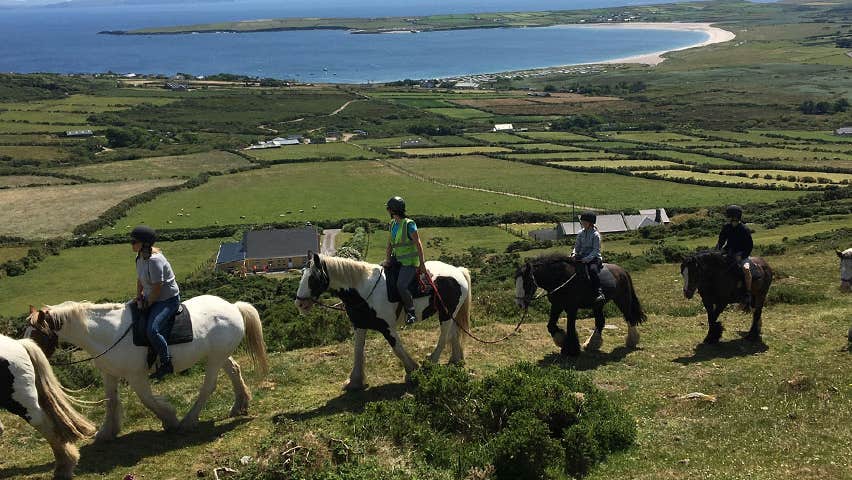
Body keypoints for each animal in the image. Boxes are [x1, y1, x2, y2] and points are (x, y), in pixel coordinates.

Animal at [25, 295, 268, 441]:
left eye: (37, 332)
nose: (27, 352)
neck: (109, 333)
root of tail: (233, 307)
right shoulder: (109, 374)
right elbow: (111, 401)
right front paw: (106, 432)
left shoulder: (136, 376)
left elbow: (148, 400)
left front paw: (170, 418)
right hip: (219, 355)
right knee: (234, 370)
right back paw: (239, 405)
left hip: (215, 359)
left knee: (208, 387)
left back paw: (188, 421)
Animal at [294, 253, 471, 390]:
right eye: (302, 273)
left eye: (313, 277)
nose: (300, 304)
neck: (364, 291)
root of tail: (458, 271)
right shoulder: (359, 325)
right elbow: (357, 351)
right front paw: (354, 381)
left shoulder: (387, 327)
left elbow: (397, 349)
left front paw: (412, 371)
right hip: (450, 312)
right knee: (453, 333)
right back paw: (456, 359)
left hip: (446, 314)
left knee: (444, 336)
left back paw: (431, 362)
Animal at [515, 253, 646, 356]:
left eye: (526, 282)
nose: (520, 304)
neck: (562, 278)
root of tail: (622, 271)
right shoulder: (557, 305)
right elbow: (551, 326)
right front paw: (562, 341)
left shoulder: (572, 307)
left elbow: (570, 327)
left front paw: (571, 349)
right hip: (598, 305)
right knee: (600, 321)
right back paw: (592, 344)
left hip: (622, 299)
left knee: (629, 317)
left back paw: (632, 341)